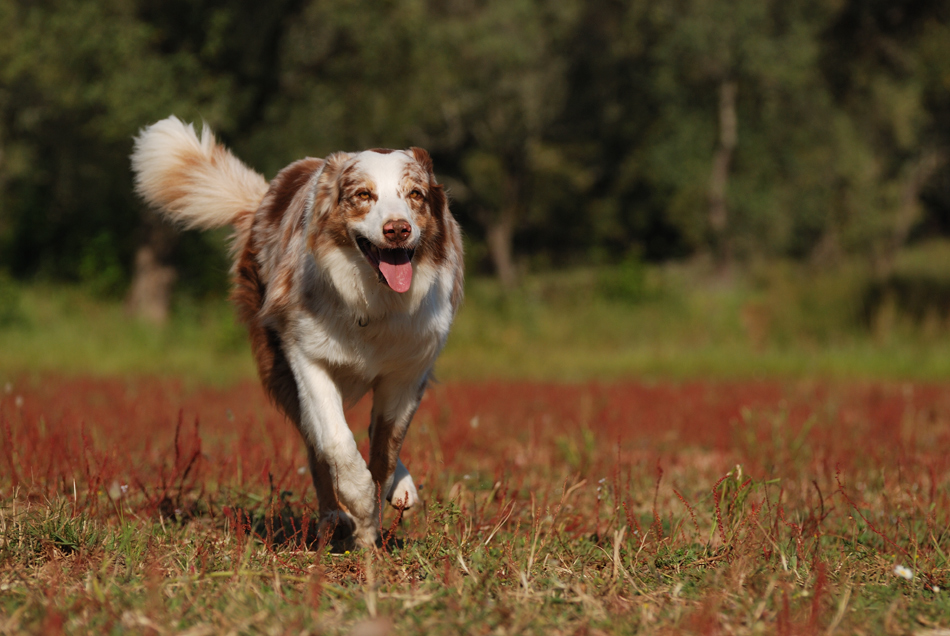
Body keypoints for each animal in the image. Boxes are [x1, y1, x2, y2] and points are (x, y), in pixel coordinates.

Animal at [130, 118, 464, 548]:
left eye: (416, 195)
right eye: (363, 195)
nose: (397, 230)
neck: (374, 302)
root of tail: (264, 198)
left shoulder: (408, 372)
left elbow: (385, 449)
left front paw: (373, 523)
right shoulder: (307, 357)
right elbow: (336, 441)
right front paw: (359, 507)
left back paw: (398, 490)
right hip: (278, 364)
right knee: (315, 442)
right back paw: (332, 519)